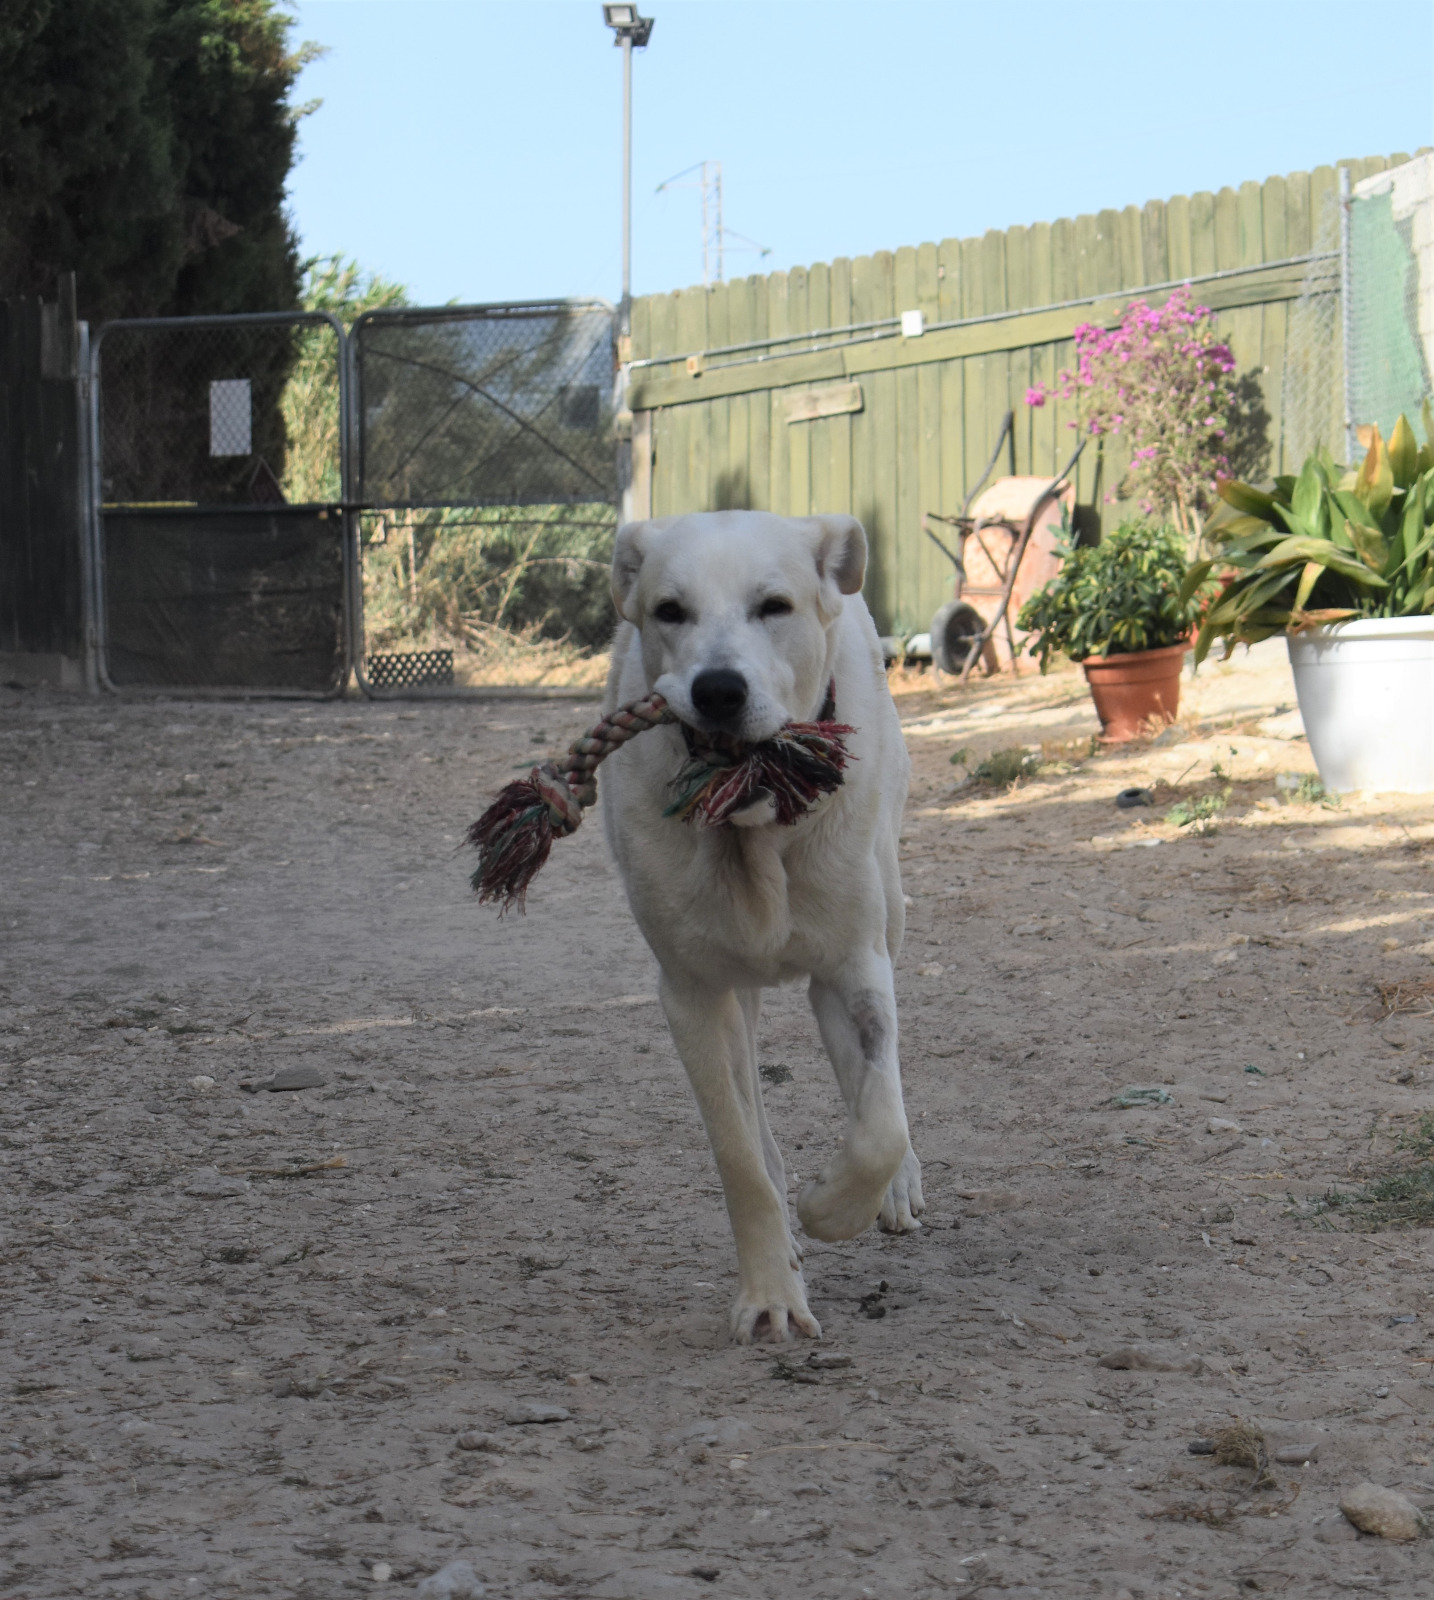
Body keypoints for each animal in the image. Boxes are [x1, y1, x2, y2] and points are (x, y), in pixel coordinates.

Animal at [598, 508, 921, 1337]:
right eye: (670, 610)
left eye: (774, 606)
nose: (717, 690)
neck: (754, 826)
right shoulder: (691, 993)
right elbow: (738, 1153)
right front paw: (773, 1291)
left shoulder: (855, 967)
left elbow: (880, 1124)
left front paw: (831, 1207)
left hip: (887, 910)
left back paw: (894, 1189)